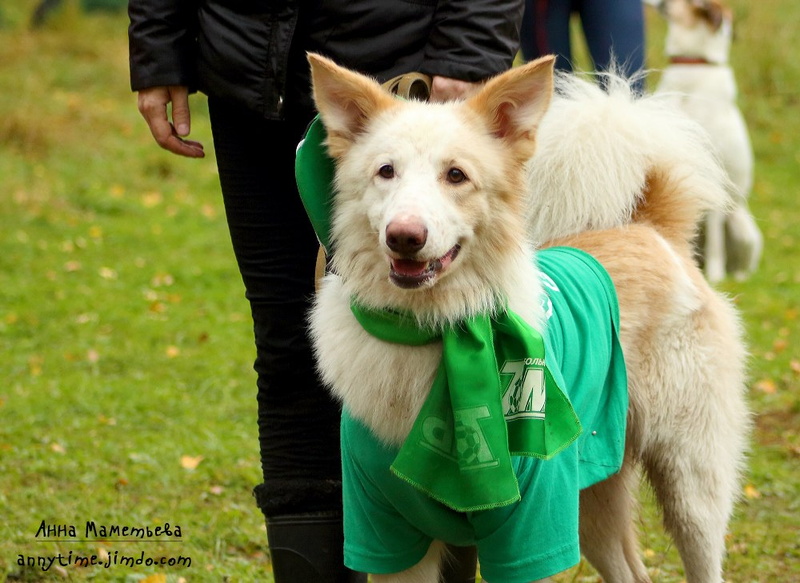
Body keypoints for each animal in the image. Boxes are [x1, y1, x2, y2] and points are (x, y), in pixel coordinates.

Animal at [300, 52, 752, 580]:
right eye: (385, 171)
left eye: (456, 175)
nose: (404, 236)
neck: (439, 331)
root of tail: (652, 229)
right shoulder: (388, 538)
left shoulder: (532, 532)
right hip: (592, 497)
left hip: (690, 487)